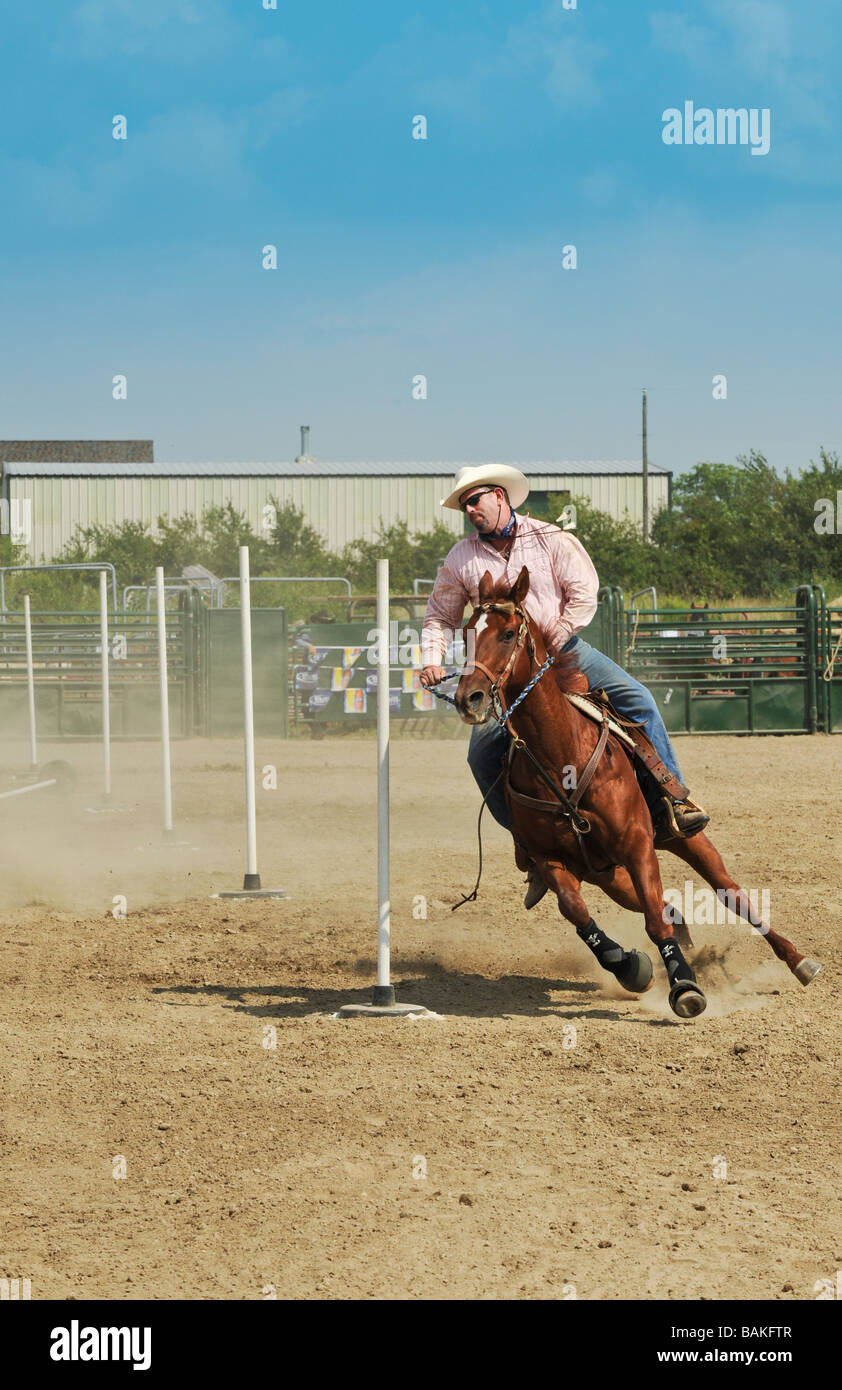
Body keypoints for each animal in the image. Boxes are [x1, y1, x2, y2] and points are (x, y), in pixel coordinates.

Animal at [454, 566, 821, 1019]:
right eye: (467, 632)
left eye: (507, 634)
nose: (468, 698)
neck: (561, 760)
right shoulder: (549, 858)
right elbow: (577, 911)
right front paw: (632, 967)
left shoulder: (637, 844)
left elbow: (654, 920)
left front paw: (684, 985)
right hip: (609, 876)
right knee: (665, 907)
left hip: (684, 842)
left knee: (730, 894)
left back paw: (797, 960)